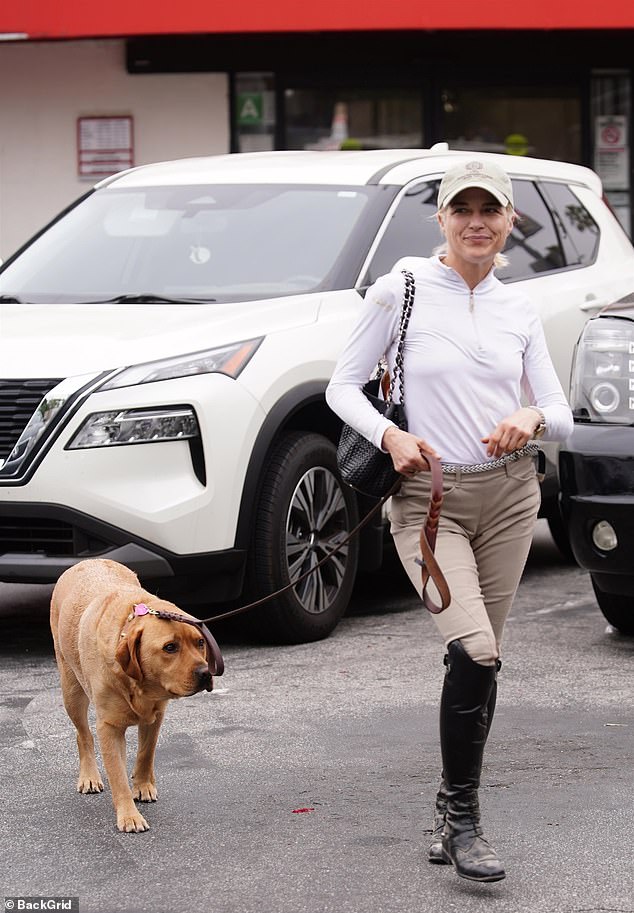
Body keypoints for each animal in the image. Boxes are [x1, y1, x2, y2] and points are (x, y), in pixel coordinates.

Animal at [50, 560, 222, 832]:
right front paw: (129, 815)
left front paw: (142, 785)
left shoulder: (156, 715)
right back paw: (89, 776)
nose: (205, 673)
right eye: (170, 647)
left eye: (200, 643)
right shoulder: (107, 726)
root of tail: (86, 561)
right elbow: (117, 775)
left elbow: (145, 753)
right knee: (83, 735)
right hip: (71, 691)